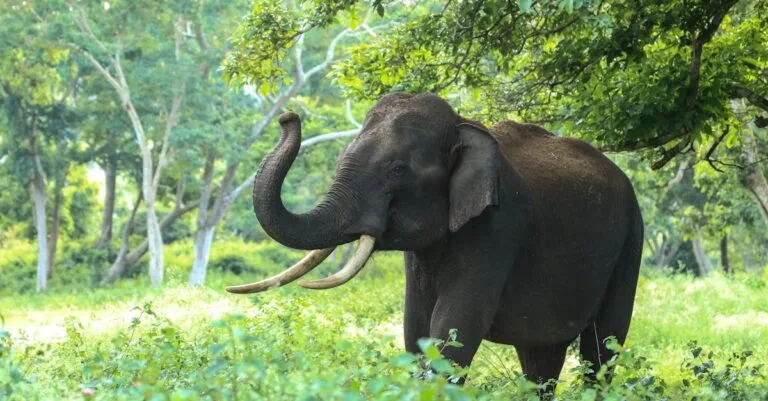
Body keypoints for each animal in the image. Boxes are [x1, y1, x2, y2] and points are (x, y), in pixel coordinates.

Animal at [227, 92, 643, 390]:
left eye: (397, 169)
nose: (288, 117)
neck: (462, 125)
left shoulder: (497, 227)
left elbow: (453, 329)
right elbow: (416, 329)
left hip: (631, 240)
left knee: (602, 348)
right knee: (541, 359)